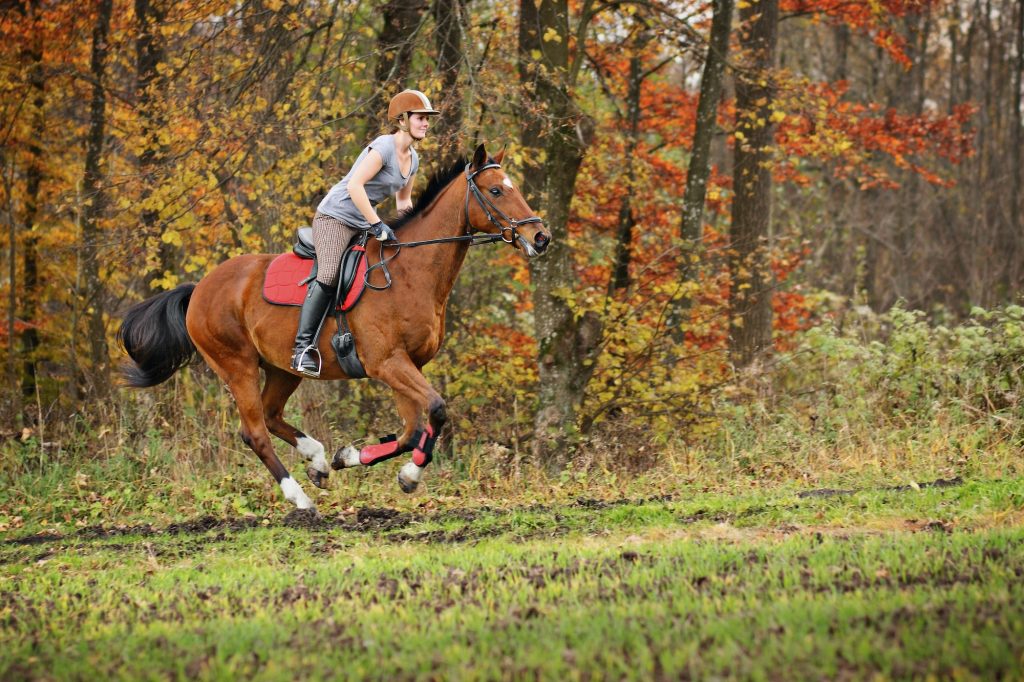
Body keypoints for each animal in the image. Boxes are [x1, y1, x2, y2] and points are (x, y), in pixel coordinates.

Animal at [117, 146, 552, 512]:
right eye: (496, 190)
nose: (541, 237)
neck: (409, 272)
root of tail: (199, 289)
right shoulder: (386, 363)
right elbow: (435, 410)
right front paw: (407, 475)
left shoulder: (407, 365)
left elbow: (412, 429)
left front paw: (354, 459)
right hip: (236, 365)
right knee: (254, 431)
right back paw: (300, 499)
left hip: (282, 367)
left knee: (271, 416)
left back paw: (318, 460)